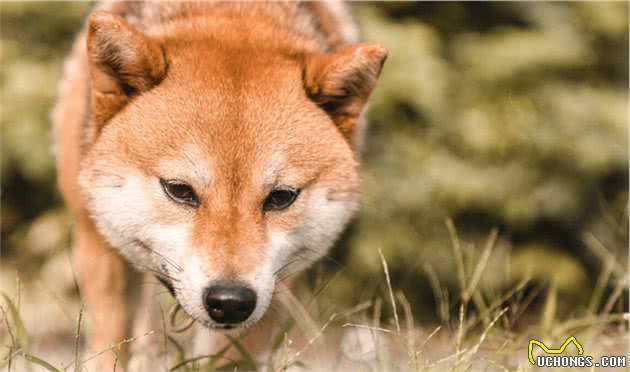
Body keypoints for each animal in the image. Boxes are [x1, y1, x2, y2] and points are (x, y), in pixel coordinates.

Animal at [54, 1, 388, 370]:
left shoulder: (275, 286)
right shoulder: (98, 244)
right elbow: (110, 347)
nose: (230, 300)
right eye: (179, 190)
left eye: (281, 197)